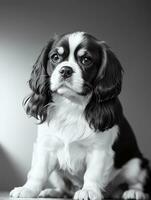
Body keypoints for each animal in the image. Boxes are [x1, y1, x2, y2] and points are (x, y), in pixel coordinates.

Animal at [10, 32, 150, 199]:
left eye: (86, 60)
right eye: (55, 57)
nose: (65, 70)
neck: (72, 105)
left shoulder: (99, 150)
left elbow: (92, 174)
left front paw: (89, 190)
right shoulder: (46, 146)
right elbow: (38, 171)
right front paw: (28, 189)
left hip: (136, 165)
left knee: (137, 183)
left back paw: (133, 192)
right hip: (57, 174)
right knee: (64, 188)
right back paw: (53, 192)